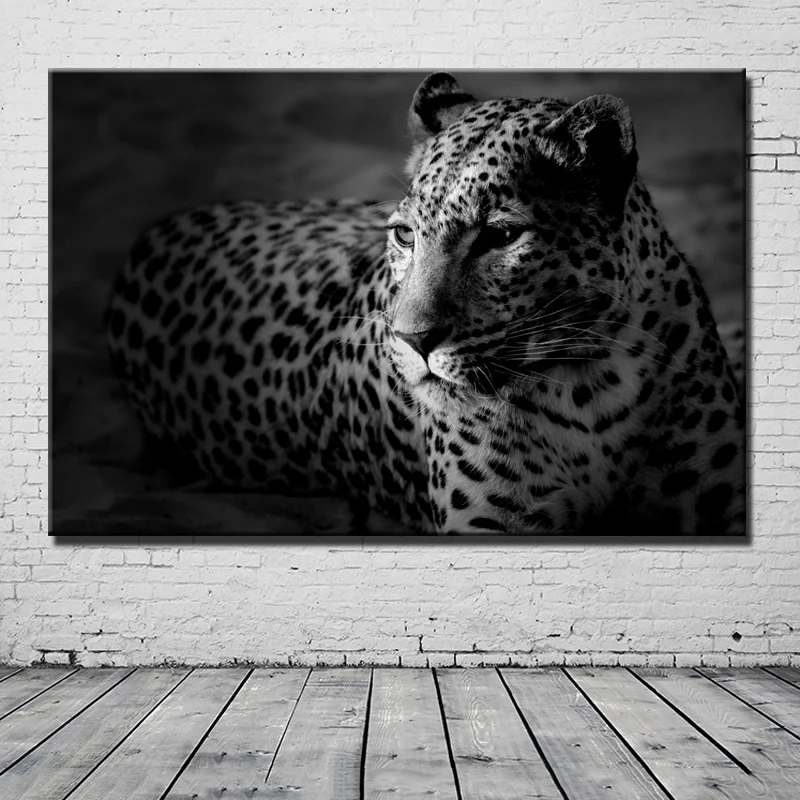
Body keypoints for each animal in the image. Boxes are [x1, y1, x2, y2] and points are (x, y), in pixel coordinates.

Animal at [106, 73, 746, 535]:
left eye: (500, 236)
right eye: (405, 235)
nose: (412, 342)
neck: (592, 382)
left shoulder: (721, 498)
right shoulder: (492, 524)